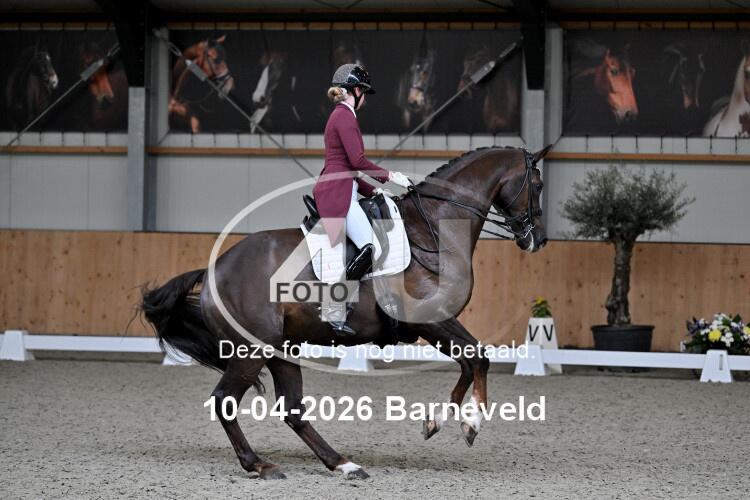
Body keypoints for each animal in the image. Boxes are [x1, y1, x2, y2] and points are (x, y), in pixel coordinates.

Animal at [140, 145, 550, 480]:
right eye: (539, 185)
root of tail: (215, 269)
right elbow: (479, 358)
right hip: (251, 351)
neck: (433, 229)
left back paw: (343, 464)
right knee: (225, 400)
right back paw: (260, 464)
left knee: (292, 410)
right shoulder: (433, 320)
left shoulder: (435, 324)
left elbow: (469, 362)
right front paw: (471, 424)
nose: (539, 240)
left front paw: (436, 422)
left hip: (281, 349)